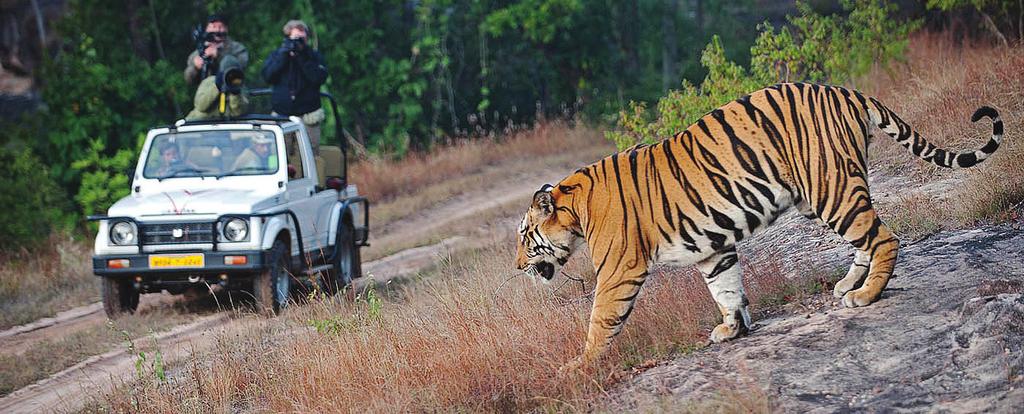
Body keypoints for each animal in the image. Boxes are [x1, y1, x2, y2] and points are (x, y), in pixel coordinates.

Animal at [512, 81, 999, 370]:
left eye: (523, 238)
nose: (516, 267)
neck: (576, 209)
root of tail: (842, 89)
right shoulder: (712, 248)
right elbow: (726, 289)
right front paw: (732, 328)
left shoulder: (618, 269)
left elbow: (600, 319)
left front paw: (580, 366)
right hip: (827, 193)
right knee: (867, 235)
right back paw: (848, 284)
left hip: (829, 188)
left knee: (885, 238)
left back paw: (865, 295)